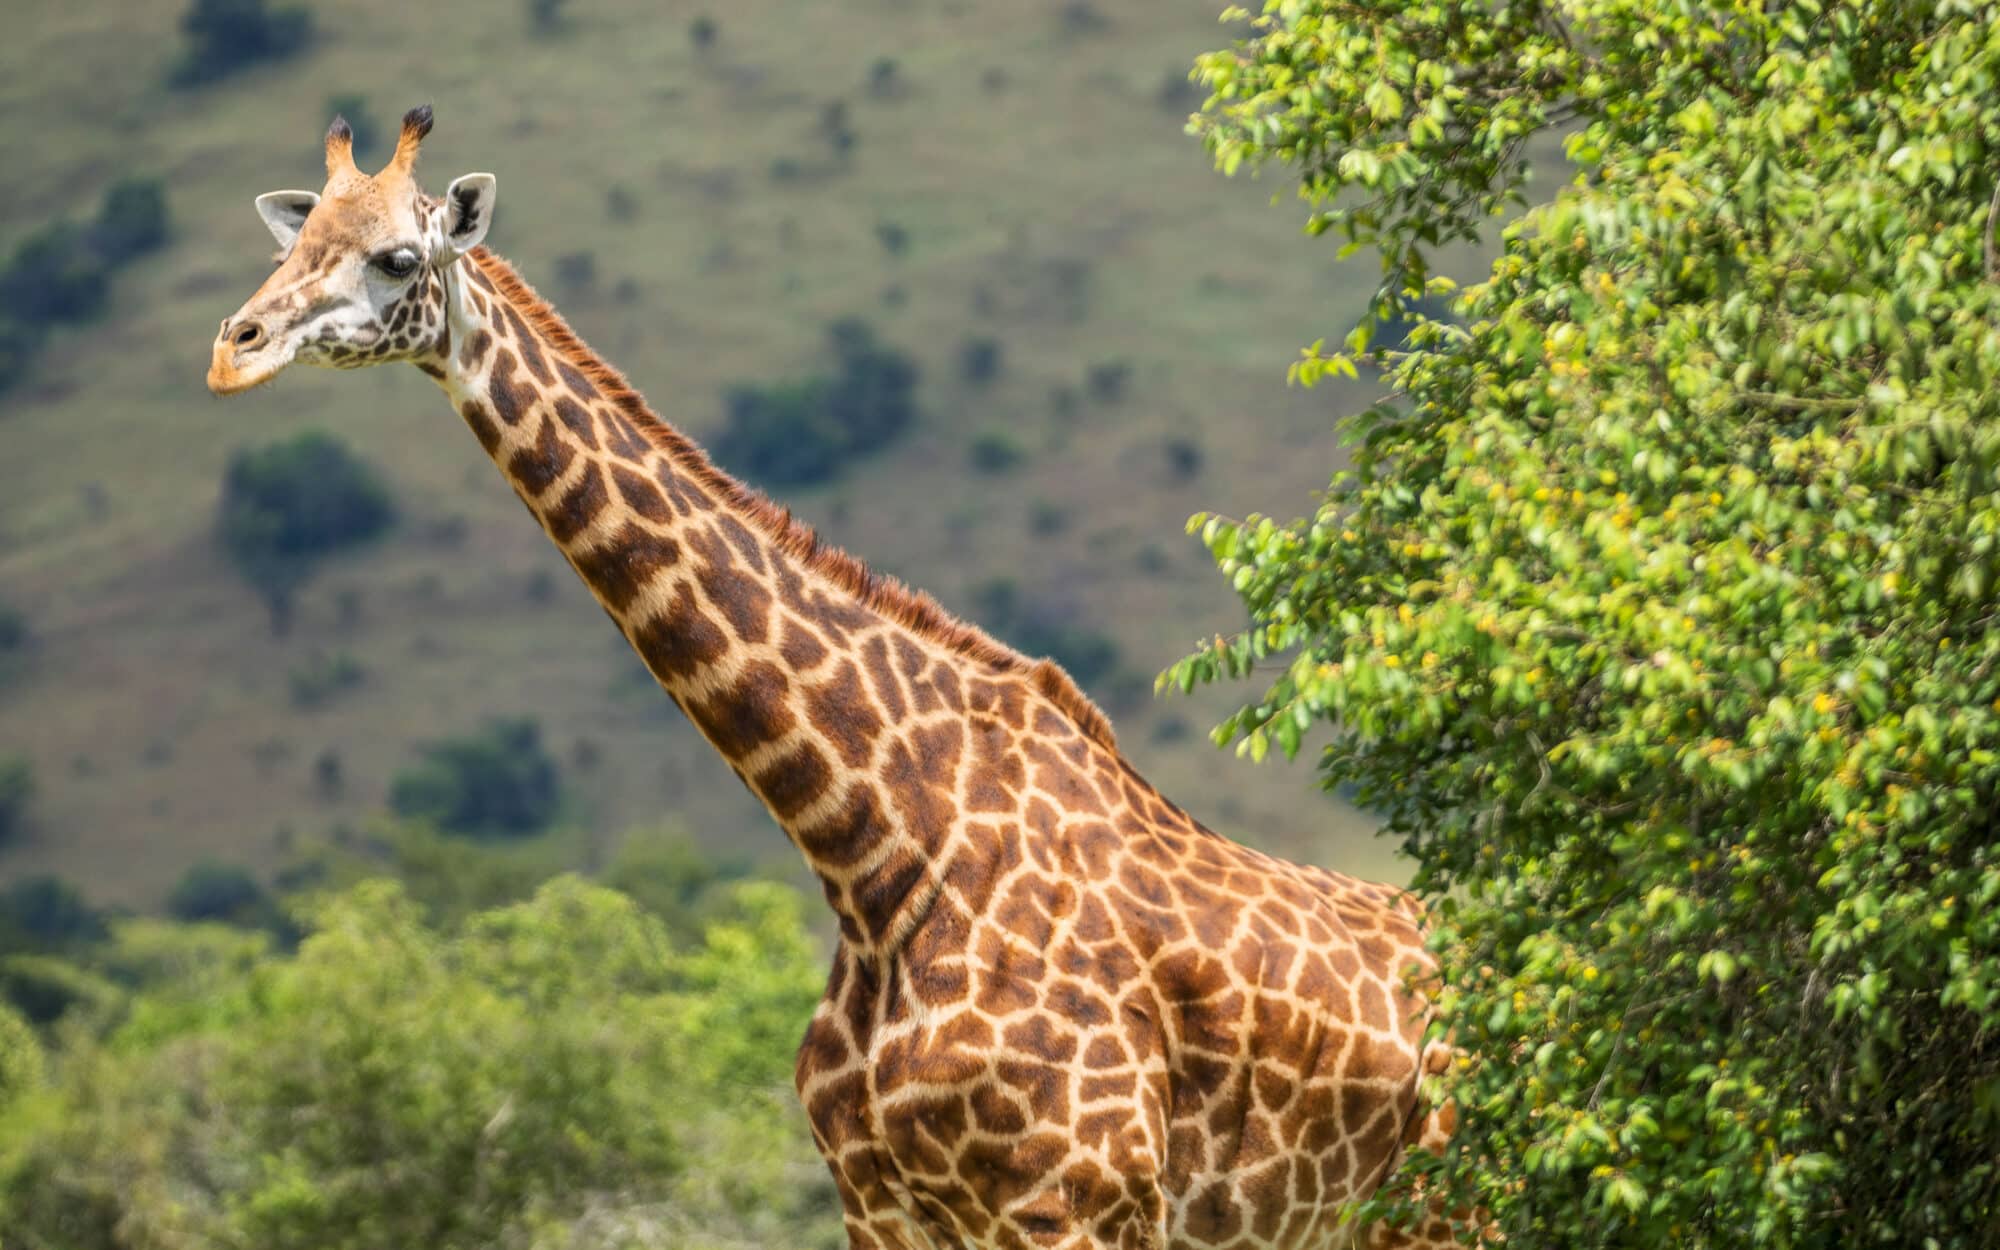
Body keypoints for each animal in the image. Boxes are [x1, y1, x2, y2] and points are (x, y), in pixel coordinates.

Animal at [205, 109, 1463, 1250]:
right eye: (292, 238)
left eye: (395, 257)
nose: (234, 346)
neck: (874, 849)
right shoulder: (883, 1207)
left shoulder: (1080, 1201)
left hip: (1445, 1206)